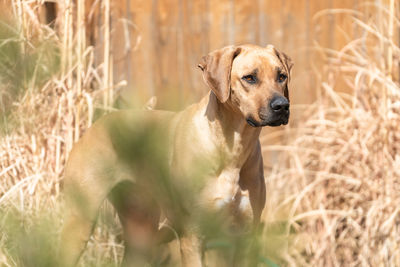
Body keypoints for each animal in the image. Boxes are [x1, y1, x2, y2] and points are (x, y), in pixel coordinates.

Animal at [61, 44, 292, 266]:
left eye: (281, 76)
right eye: (249, 78)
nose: (282, 106)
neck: (232, 148)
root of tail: (96, 125)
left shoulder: (244, 237)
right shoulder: (193, 236)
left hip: (141, 228)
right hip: (79, 221)